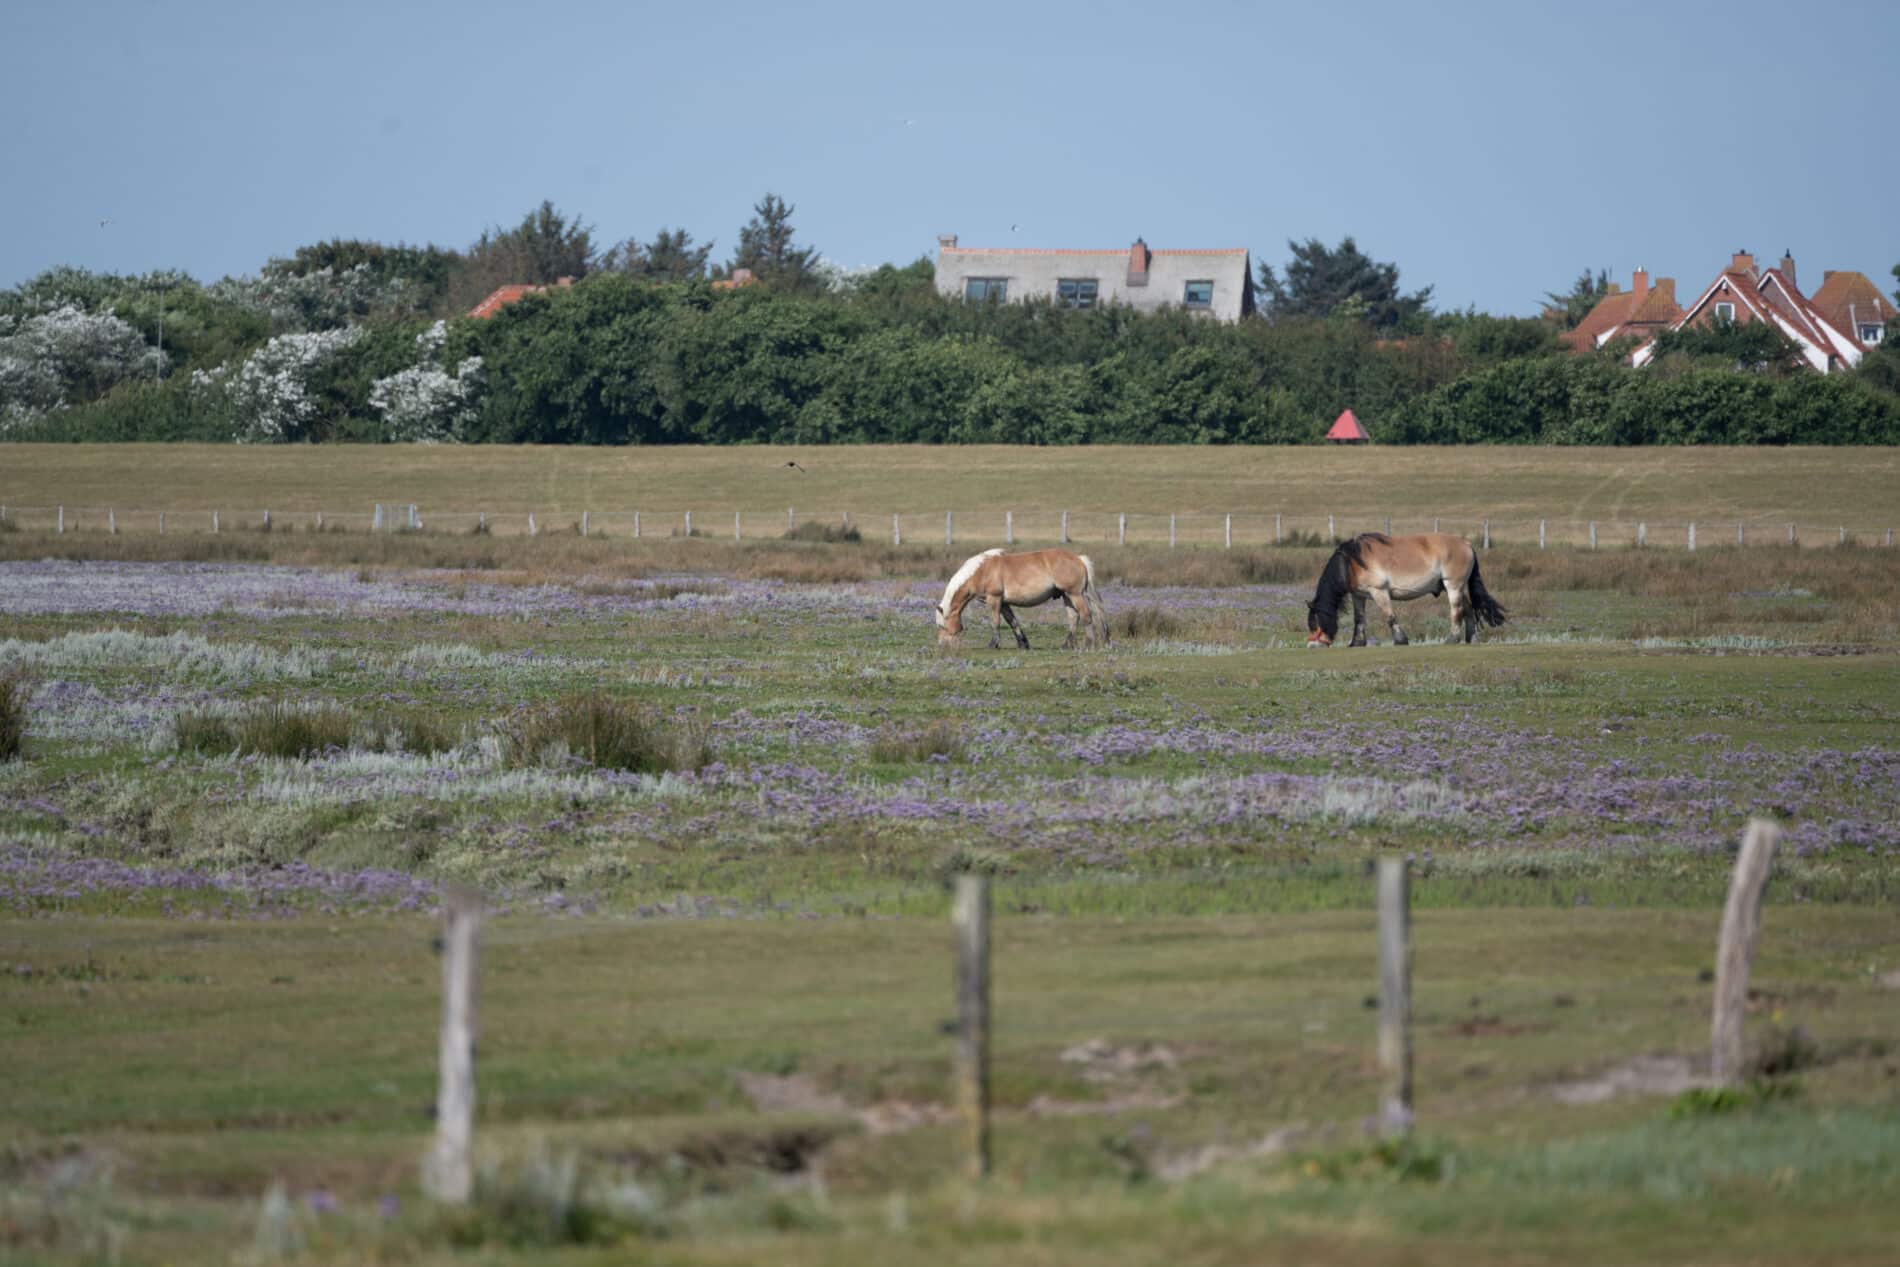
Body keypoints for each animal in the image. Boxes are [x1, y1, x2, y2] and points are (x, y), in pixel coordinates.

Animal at [938, 547, 1109, 649]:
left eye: (942, 626)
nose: (942, 646)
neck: (982, 570)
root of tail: (1079, 558)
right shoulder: (1004, 603)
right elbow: (1012, 622)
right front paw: (1023, 644)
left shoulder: (994, 600)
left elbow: (995, 622)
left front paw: (993, 644)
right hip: (1066, 596)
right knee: (1073, 618)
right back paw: (1065, 645)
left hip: (1075, 595)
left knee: (1086, 616)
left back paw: (1089, 644)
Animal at [1299, 531, 1504, 649]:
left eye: (1314, 623)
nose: (1311, 645)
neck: (1352, 562)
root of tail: (1466, 544)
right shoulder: (1359, 596)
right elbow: (1359, 619)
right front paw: (1357, 642)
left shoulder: (1379, 592)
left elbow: (1390, 617)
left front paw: (1400, 640)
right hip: (1456, 588)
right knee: (1468, 609)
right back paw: (1471, 639)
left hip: (1453, 586)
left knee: (1457, 611)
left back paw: (1452, 639)